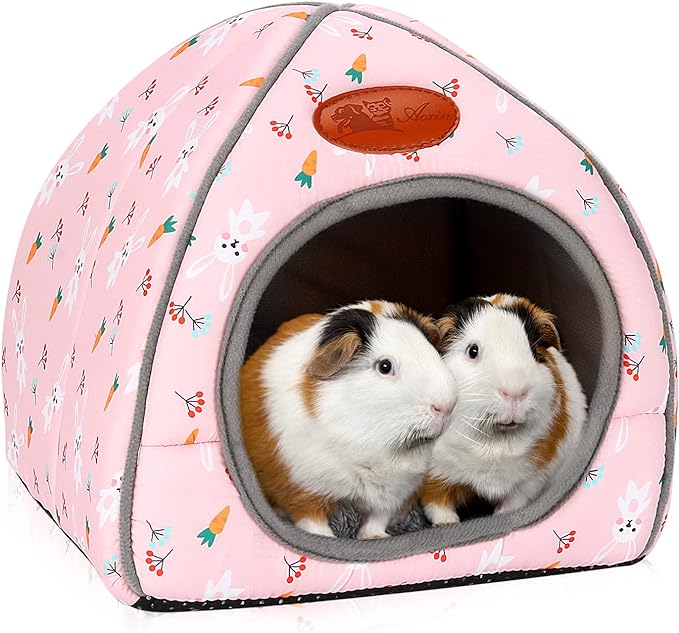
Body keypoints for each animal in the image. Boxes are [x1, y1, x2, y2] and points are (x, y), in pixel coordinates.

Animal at [240, 300, 458, 539]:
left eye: (431, 351)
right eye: (385, 366)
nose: (447, 405)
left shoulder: (396, 492)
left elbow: (377, 518)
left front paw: (374, 536)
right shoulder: (304, 488)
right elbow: (313, 521)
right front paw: (328, 538)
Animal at [422, 294, 587, 525]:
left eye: (533, 349)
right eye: (473, 351)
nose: (515, 392)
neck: (494, 441)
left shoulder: (531, 479)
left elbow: (514, 502)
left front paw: (501, 515)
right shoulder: (435, 474)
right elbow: (437, 504)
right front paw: (448, 523)